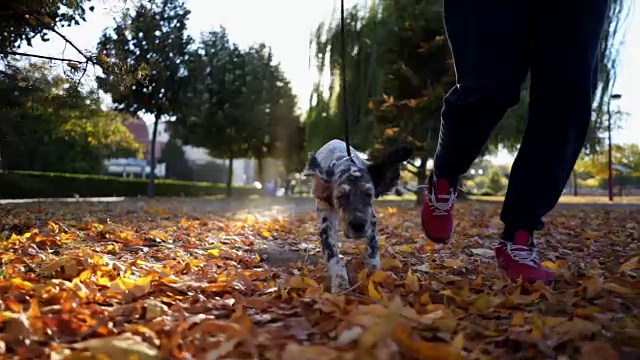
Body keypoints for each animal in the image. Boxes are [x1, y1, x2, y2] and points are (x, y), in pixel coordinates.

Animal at [304, 138, 416, 292]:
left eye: (369, 194)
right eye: (341, 196)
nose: (358, 226)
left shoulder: (371, 219)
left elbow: (372, 249)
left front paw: (375, 274)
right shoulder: (326, 219)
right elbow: (333, 254)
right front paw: (340, 282)